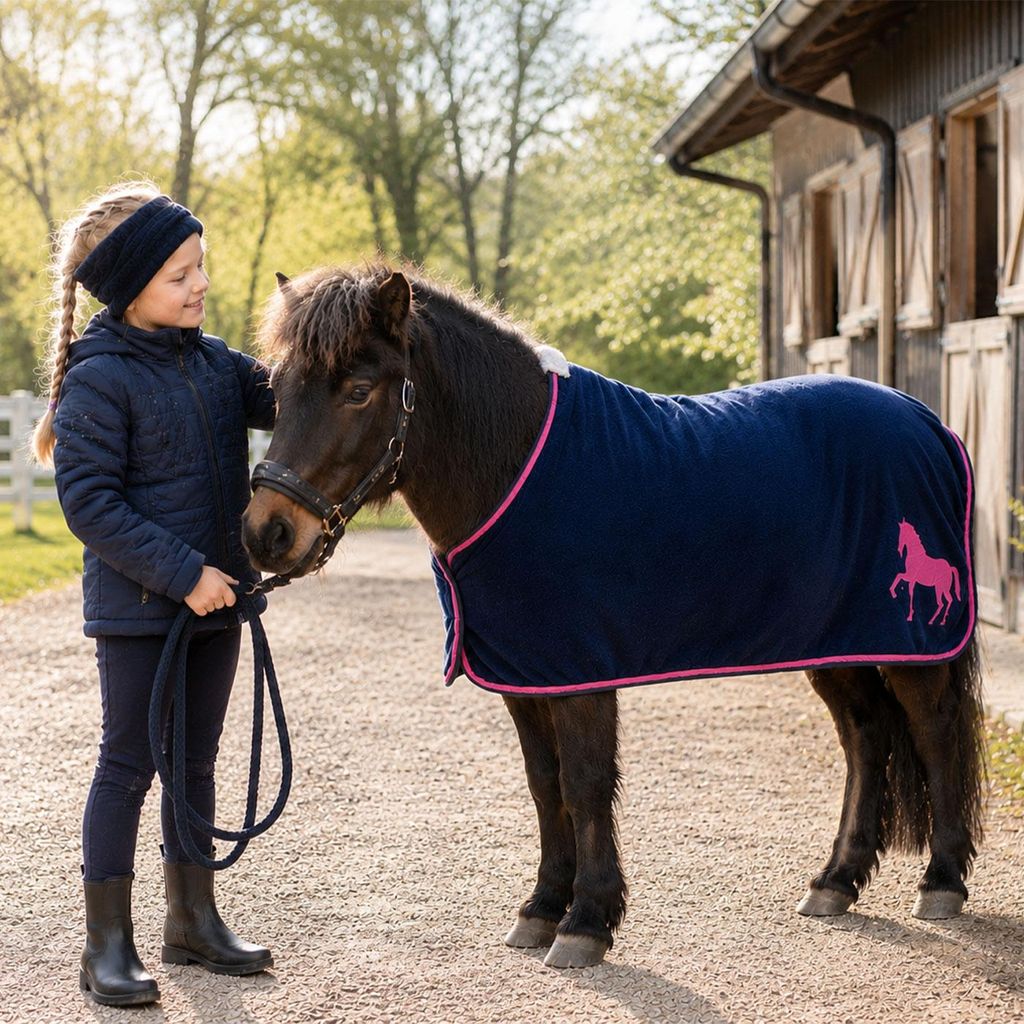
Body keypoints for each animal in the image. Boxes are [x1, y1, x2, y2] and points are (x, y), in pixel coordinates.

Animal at [241, 265, 985, 970]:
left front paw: (587, 921)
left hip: (906, 639)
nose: (267, 534)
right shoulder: (525, 675)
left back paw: (942, 881)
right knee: (866, 736)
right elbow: (546, 787)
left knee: (933, 729)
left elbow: (586, 783)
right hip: (837, 640)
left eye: (359, 390)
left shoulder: (580, 673)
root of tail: (928, 422)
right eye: (278, 389)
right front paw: (542, 907)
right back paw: (836, 880)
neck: (516, 468)